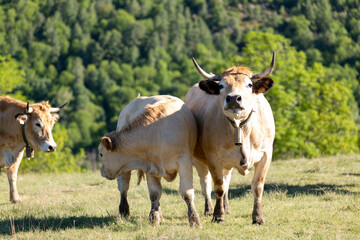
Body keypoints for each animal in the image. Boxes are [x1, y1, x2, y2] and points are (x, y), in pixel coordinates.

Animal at [98, 95, 201, 227]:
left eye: (101, 154)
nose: (102, 172)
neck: (156, 133)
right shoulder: (150, 168)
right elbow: (154, 194)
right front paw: (154, 217)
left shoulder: (184, 162)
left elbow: (187, 193)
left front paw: (194, 219)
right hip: (124, 171)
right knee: (123, 187)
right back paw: (124, 210)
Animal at [184, 53, 278, 224]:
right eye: (221, 85)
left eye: (249, 85)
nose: (234, 98)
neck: (241, 129)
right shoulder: (213, 158)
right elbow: (218, 186)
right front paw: (217, 215)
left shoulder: (266, 155)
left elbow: (257, 186)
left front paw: (258, 217)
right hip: (198, 160)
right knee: (205, 183)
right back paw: (209, 209)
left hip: (227, 164)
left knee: (227, 181)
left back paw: (226, 208)